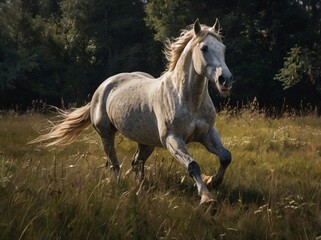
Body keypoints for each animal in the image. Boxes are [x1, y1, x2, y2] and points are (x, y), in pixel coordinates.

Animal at [31, 19, 232, 205]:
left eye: (223, 48)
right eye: (204, 48)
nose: (225, 80)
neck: (187, 98)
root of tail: (102, 87)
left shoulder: (207, 134)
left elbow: (225, 157)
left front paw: (212, 181)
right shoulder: (172, 139)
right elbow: (192, 165)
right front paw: (207, 198)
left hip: (146, 142)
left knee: (136, 164)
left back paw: (141, 187)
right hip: (106, 134)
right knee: (115, 164)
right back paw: (120, 187)